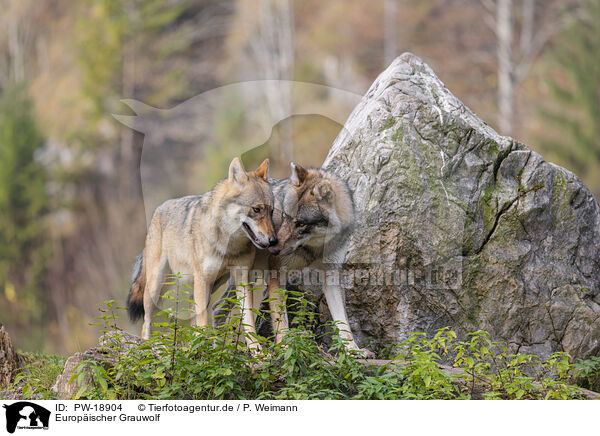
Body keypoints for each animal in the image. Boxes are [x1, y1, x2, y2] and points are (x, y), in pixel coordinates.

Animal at [127, 157, 278, 348]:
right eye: (256, 209)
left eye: (271, 211)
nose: (273, 240)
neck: (228, 246)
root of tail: (158, 209)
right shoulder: (202, 278)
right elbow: (203, 323)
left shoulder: (242, 278)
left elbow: (248, 320)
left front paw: (257, 351)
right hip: (156, 286)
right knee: (146, 321)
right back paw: (147, 345)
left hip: (211, 285)